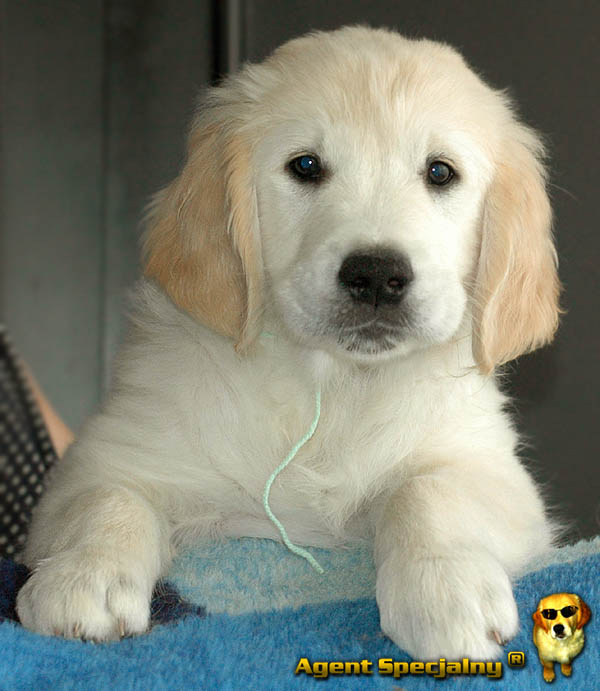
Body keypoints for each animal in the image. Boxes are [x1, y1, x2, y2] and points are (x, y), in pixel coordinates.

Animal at [16, 26, 561, 659]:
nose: (377, 275)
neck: (333, 388)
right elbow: (107, 499)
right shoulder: (104, 456)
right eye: (305, 166)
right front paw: (85, 577)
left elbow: (427, 492)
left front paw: (445, 589)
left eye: (440, 173)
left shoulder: (493, 471)